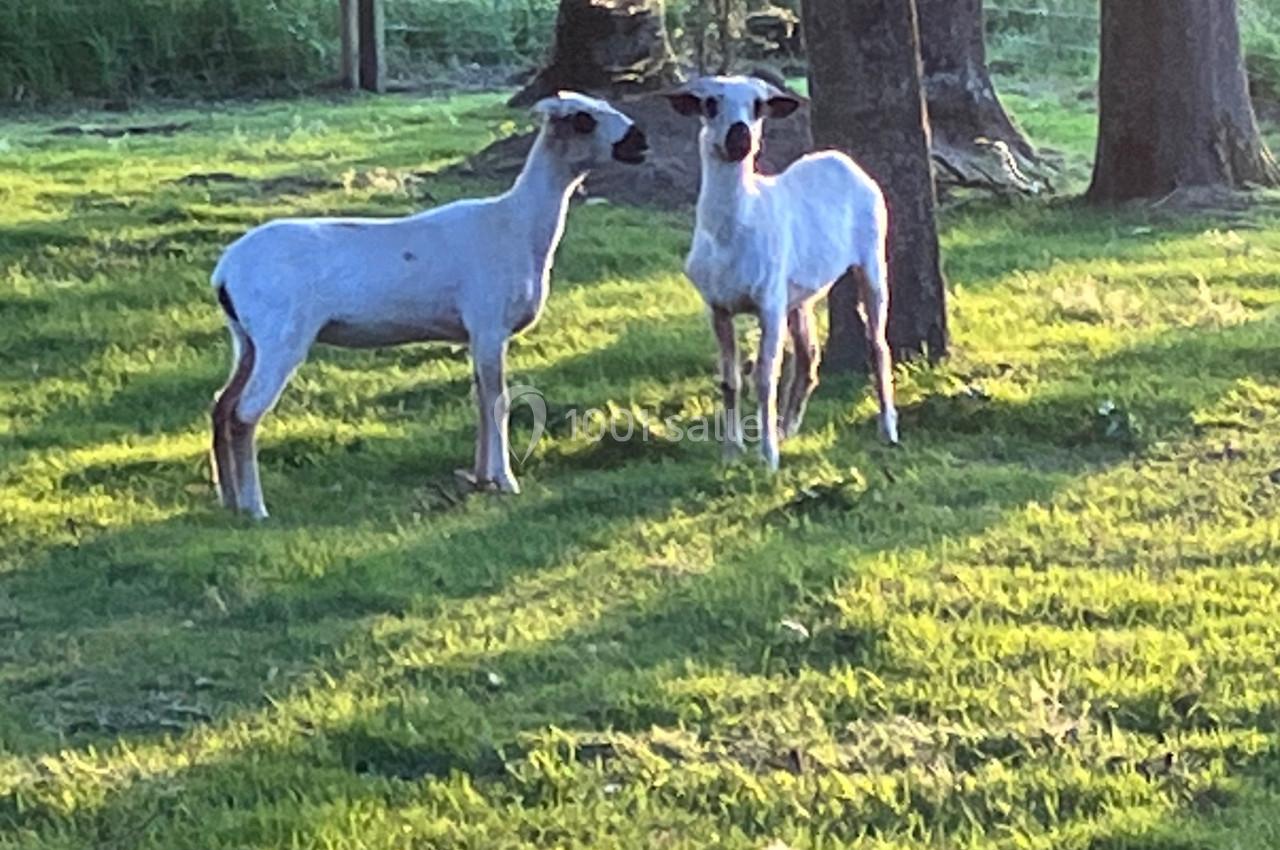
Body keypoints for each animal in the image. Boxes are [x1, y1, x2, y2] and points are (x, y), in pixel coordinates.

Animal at [209, 92, 649, 518]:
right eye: (583, 119)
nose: (641, 140)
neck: (517, 224)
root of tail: (225, 270)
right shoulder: (489, 326)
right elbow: (499, 401)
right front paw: (505, 480)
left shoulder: (475, 335)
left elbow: (480, 400)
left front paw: (482, 478)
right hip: (280, 337)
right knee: (244, 415)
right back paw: (254, 506)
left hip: (247, 340)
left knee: (222, 406)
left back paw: (229, 499)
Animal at [666, 75, 898, 471]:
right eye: (710, 103)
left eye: (759, 105)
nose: (740, 137)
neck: (732, 232)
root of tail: (842, 159)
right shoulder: (718, 307)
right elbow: (730, 380)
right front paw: (731, 453)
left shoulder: (768, 303)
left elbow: (764, 377)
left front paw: (768, 457)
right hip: (798, 293)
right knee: (808, 354)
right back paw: (788, 427)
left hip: (870, 258)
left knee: (877, 344)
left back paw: (888, 429)